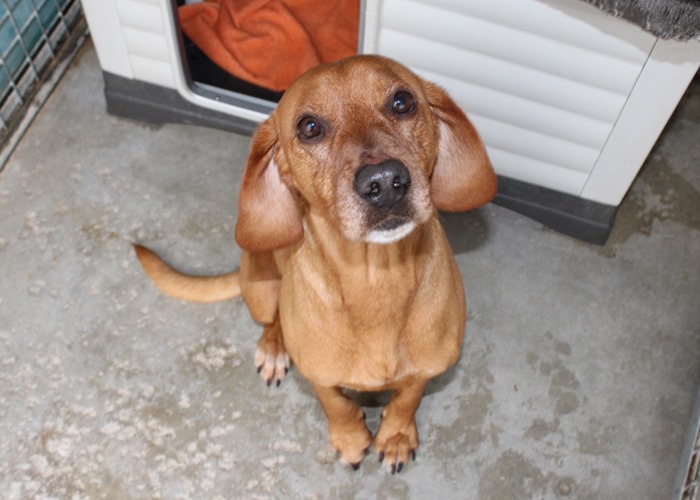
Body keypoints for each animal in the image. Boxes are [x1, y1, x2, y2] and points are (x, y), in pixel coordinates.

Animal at [134, 55, 497, 473]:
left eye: (402, 102)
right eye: (309, 127)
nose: (384, 181)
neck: (377, 280)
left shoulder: (428, 368)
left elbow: (407, 397)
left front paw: (395, 435)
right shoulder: (320, 376)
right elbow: (336, 404)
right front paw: (350, 438)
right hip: (260, 290)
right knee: (272, 321)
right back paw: (274, 347)